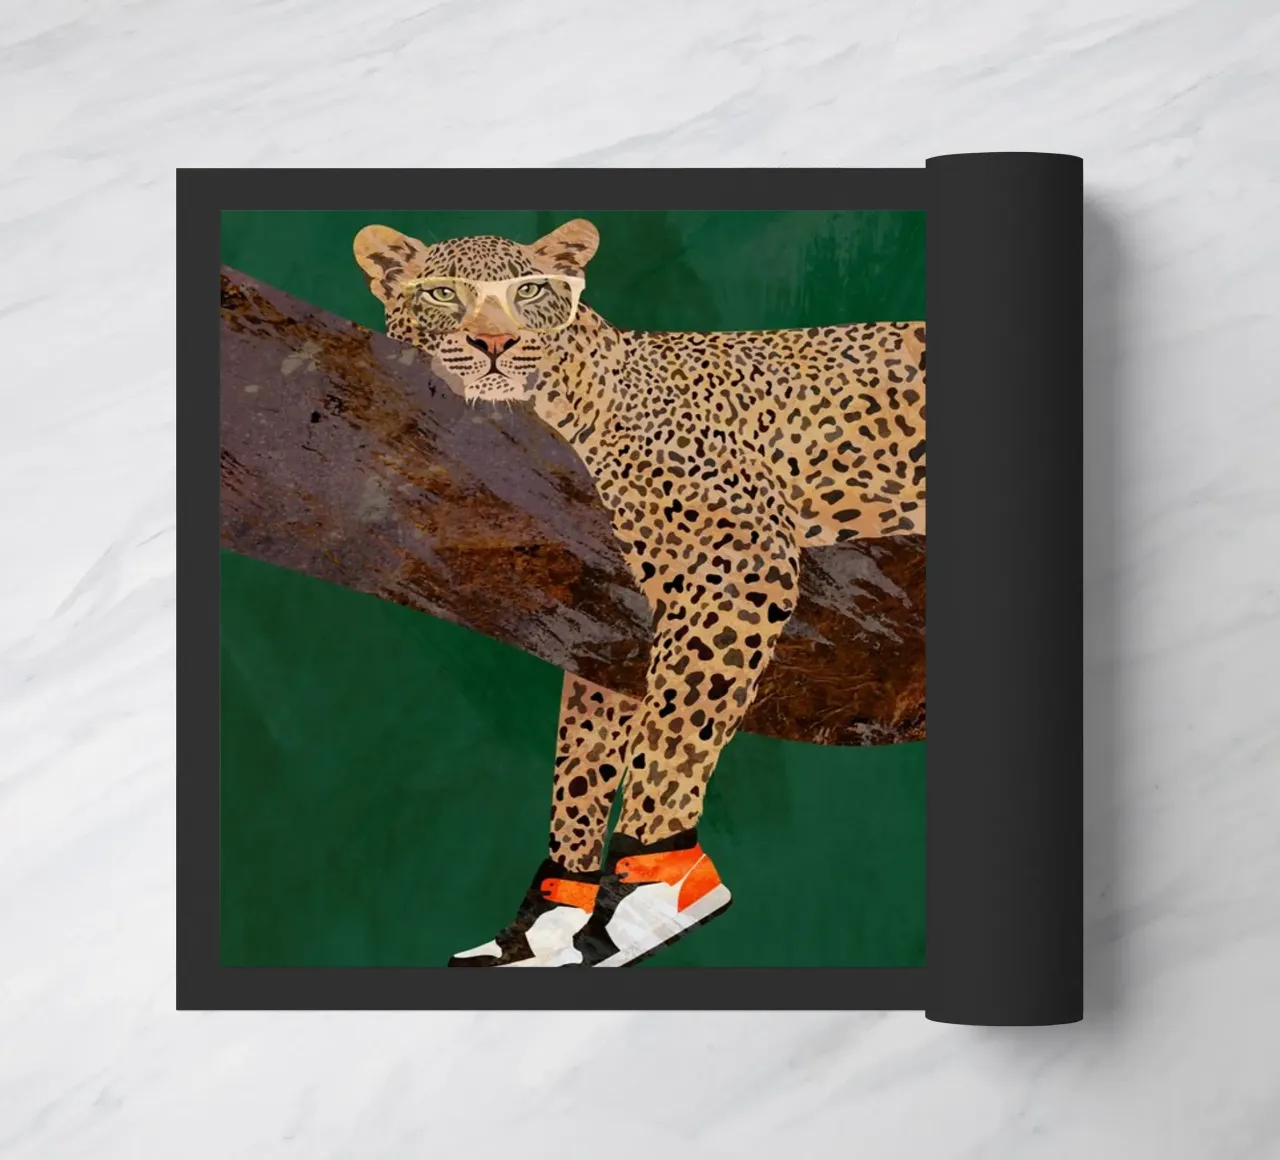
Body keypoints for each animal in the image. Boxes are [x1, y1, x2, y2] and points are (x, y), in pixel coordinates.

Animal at [354, 218, 925, 968]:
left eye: (529, 290)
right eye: (444, 293)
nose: (494, 344)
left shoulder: (741, 559)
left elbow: (676, 731)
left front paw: (641, 899)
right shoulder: (607, 626)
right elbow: (583, 765)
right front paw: (545, 925)